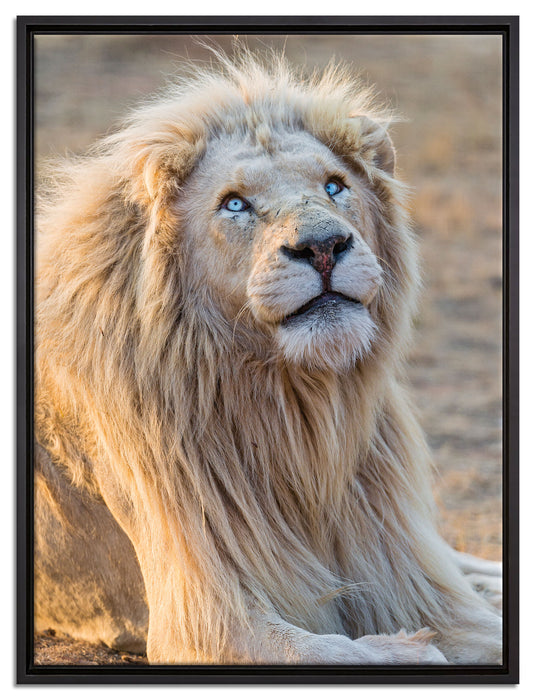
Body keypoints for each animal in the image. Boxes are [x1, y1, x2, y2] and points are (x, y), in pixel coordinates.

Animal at [34, 50, 502, 665]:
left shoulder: (406, 573)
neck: (295, 410)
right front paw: (411, 652)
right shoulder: (207, 620)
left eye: (335, 186)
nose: (324, 246)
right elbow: (328, 651)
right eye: (235, 204)